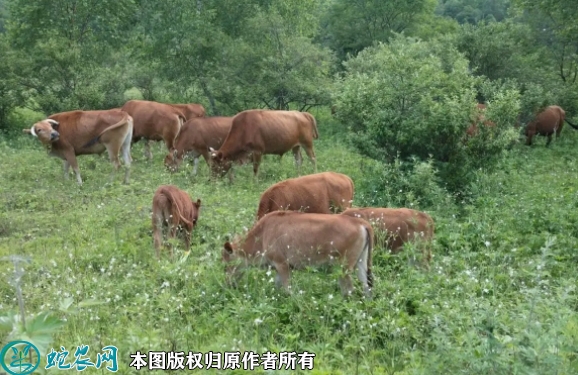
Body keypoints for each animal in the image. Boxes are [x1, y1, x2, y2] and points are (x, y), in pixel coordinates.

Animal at [220, 212, 374, 300]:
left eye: (226, 264)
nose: (228, 284)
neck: (262, 234)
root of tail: (360, 222)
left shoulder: (282, 265)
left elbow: (287, 289)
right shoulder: (279, 268)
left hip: (344, 268)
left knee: (349, 289)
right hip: (361, 264)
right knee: (366, 286)